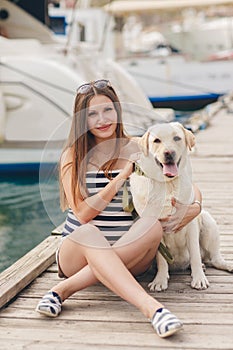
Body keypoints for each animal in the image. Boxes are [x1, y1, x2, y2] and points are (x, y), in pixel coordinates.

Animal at [130, 121, 232, 292]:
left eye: (177, 138)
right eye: (156, 141)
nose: (169, 153)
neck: (168, 183)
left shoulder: (190, 222)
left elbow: (195, 255)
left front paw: (199, 279)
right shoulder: (155, 226)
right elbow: (162, 259)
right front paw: (160, 280)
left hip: (207, 221)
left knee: (213, 257)